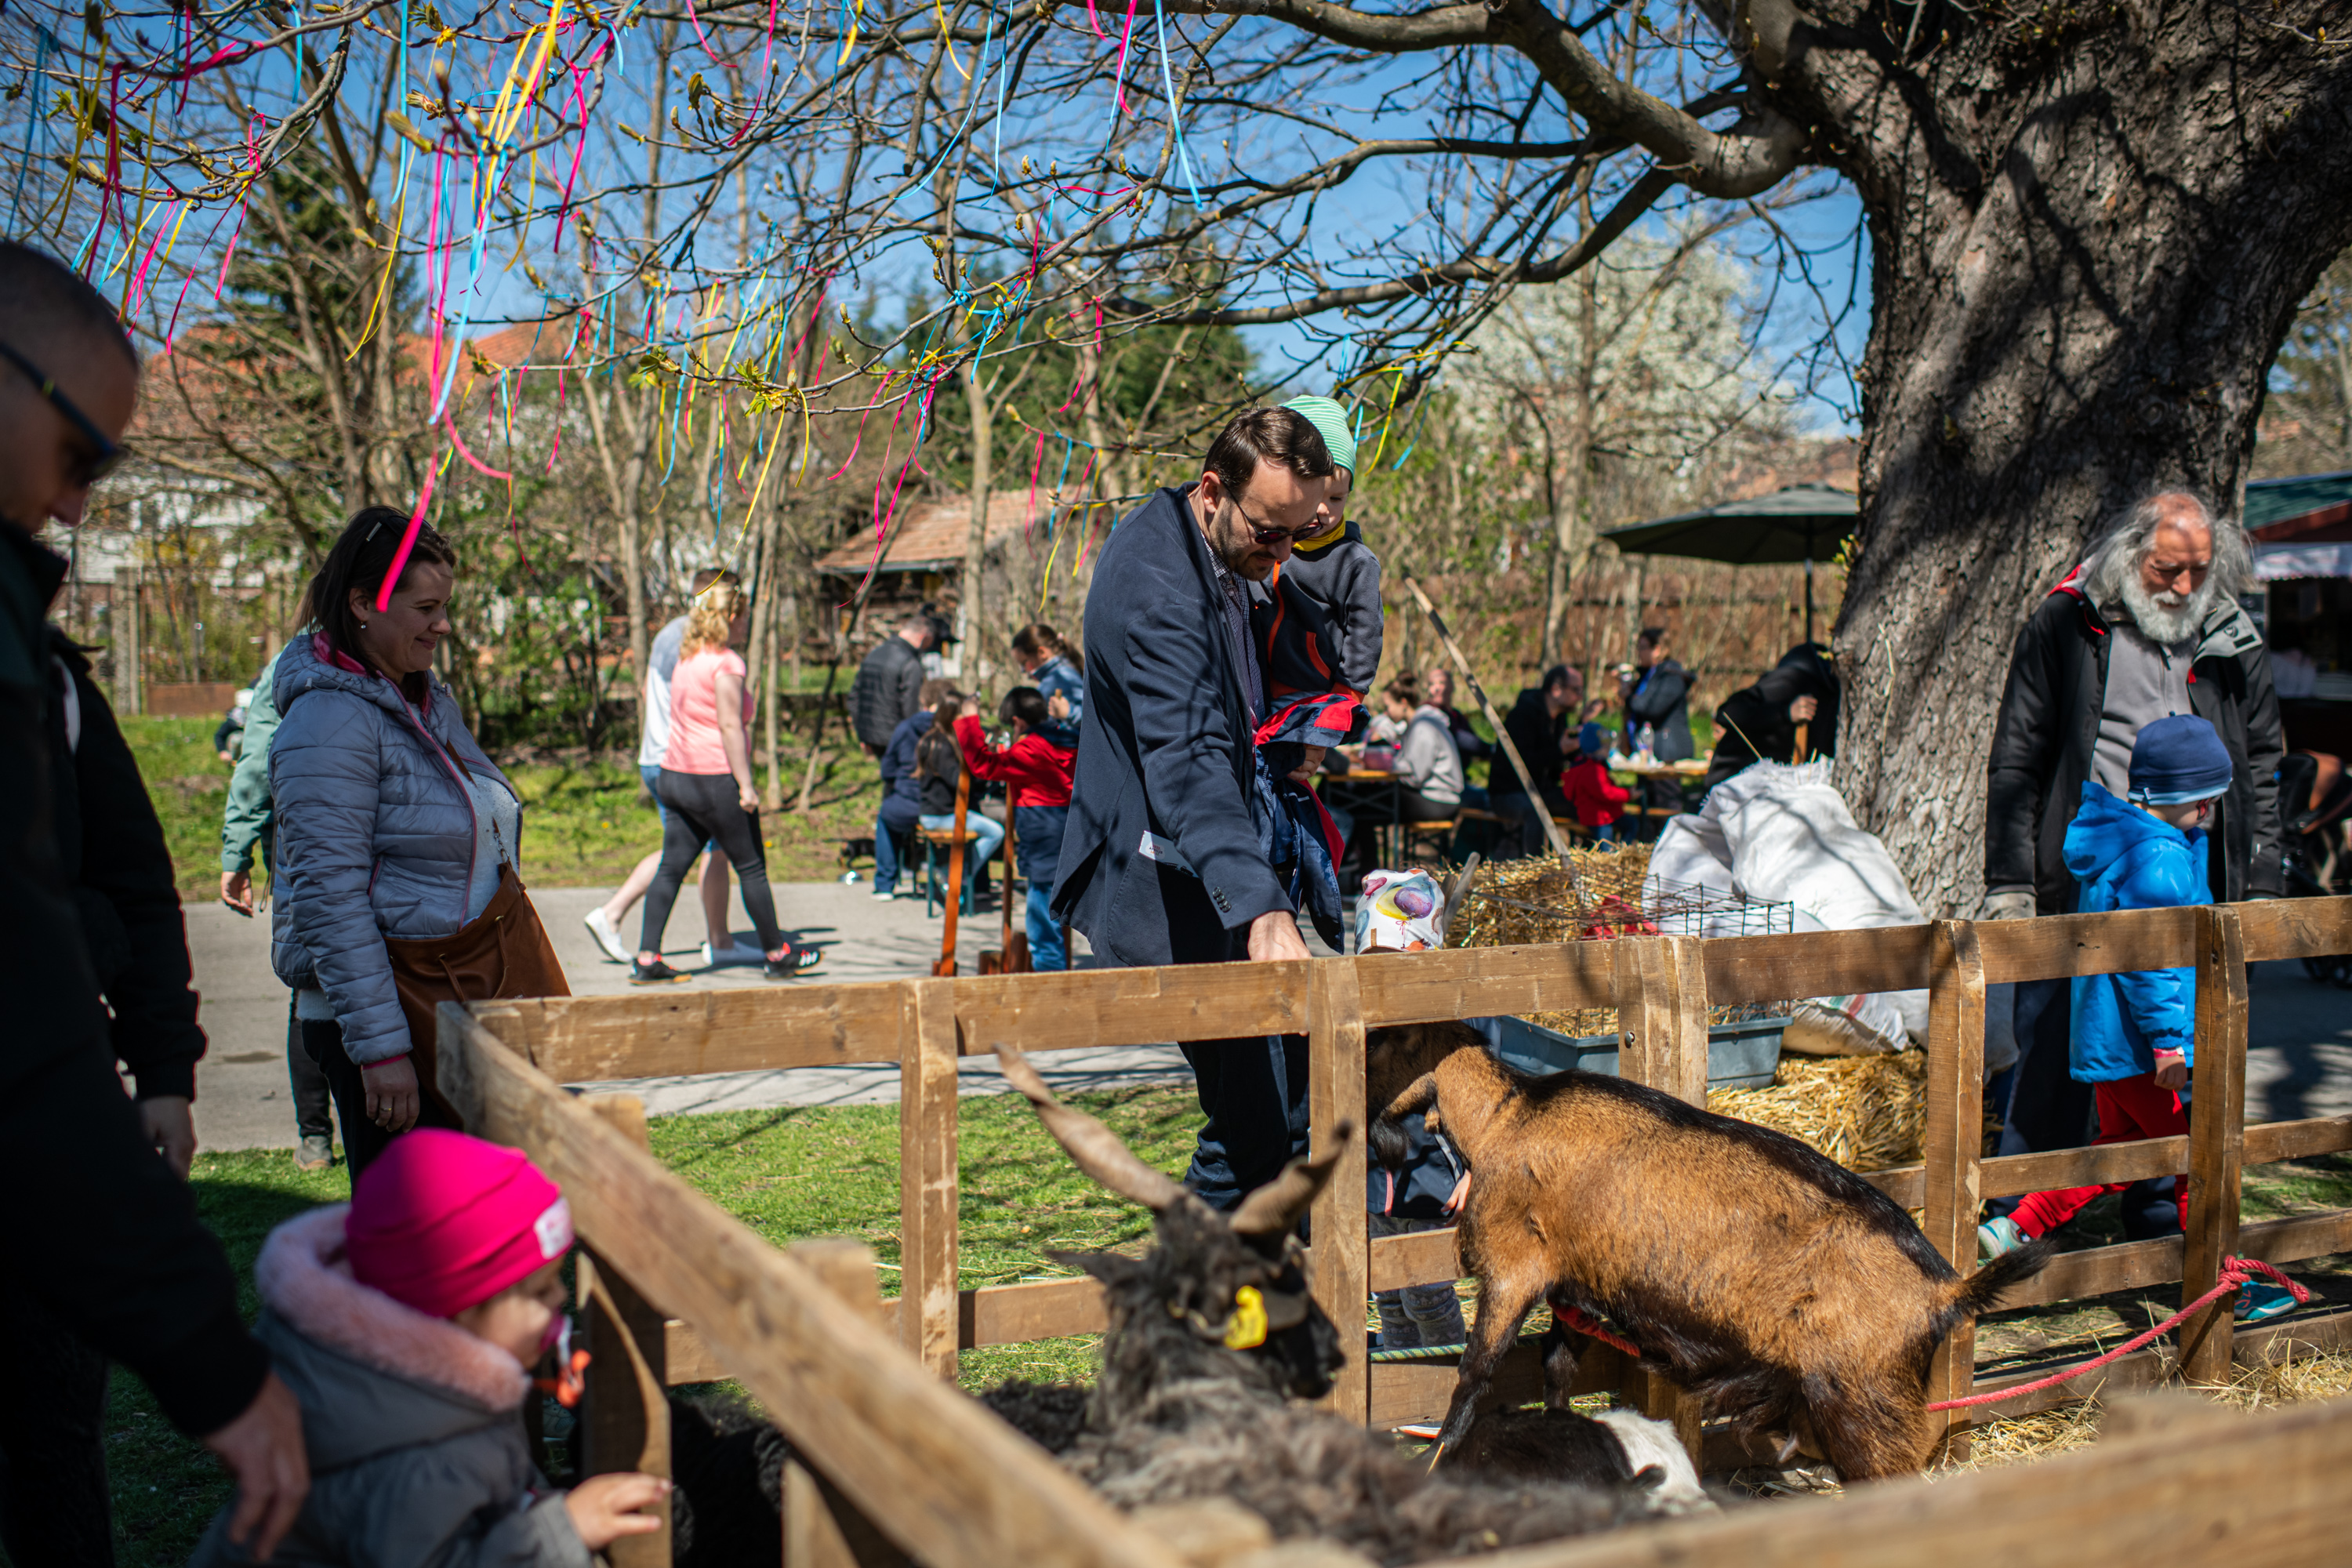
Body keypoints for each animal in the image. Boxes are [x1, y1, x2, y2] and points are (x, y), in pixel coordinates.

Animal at [1374, 1020, 2051, 1486]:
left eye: (1382, 1043)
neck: (1510, 1114)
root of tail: (1946, 1290)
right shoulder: (1572, 1285)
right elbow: (1559, 1369)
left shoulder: (1515, 1269)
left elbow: (1473, 1377)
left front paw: (1438, 1460)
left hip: (1866, 1406)